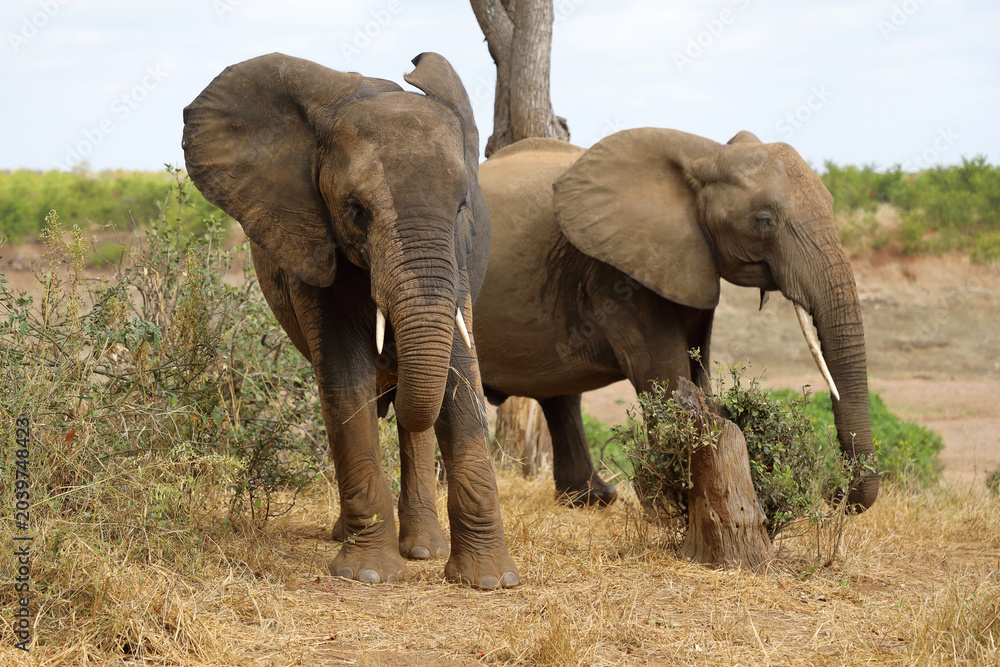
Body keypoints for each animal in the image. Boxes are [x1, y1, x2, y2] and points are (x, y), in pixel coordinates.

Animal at [182, 52, 519, 589]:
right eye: (356, 211)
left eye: (464, 207)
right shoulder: (310, 241)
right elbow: (345, 375)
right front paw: (369, 575)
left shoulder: (460, 264)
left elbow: (460, 375)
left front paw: (489, 582)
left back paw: (423, 549)